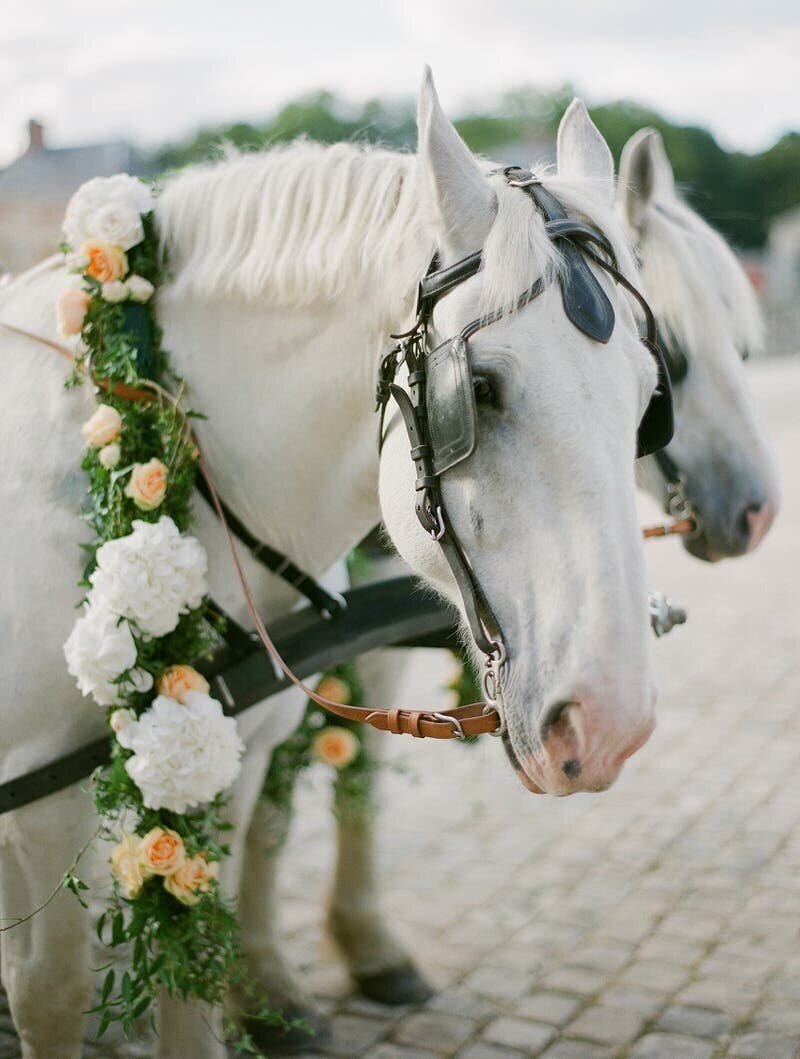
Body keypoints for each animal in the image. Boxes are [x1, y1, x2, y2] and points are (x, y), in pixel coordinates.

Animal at [1, 70, 669, 1054]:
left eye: (650, 396)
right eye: (480, 391)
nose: (611, 722)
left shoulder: (225, 758)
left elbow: (193, 973)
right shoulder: (44, 792)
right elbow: (48, 988)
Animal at [239, 126, 784, 1050]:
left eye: (650, 388)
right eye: (676, 357)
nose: (758, 510)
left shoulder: (370, 654)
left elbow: (358, 776)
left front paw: (367, 946)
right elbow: (265, 804)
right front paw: (264, 987)